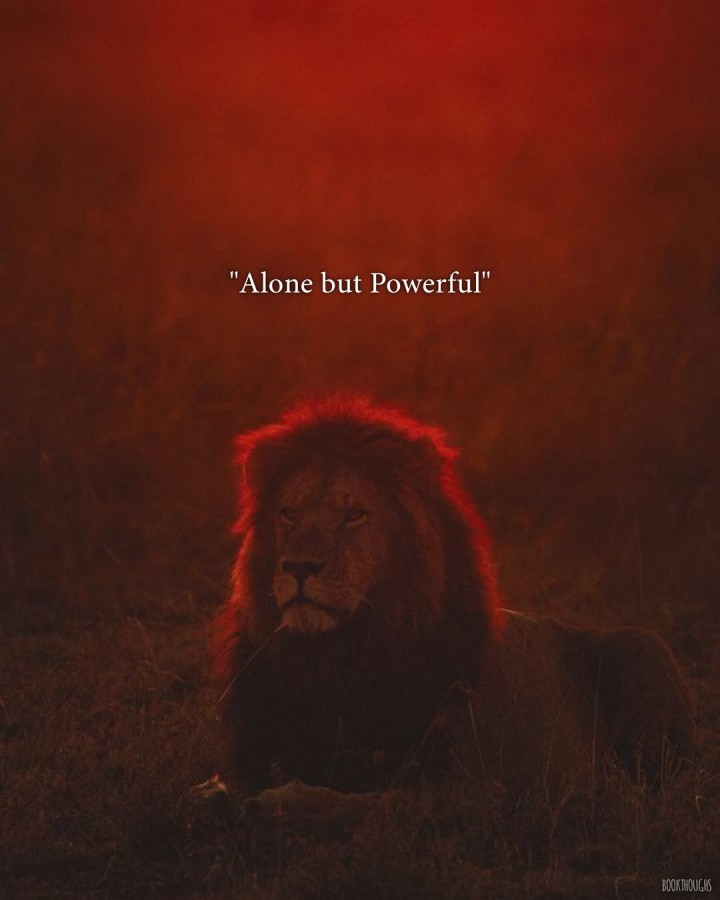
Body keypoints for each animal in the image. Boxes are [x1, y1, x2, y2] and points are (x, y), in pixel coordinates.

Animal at [213, 395, 693, 804]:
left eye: (354, 515)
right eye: (288, 513)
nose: (298, 567)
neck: (335, 657)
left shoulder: (459, 789)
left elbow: (338, 801)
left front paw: (275, 801)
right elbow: (228, 787)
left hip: (647, 647)